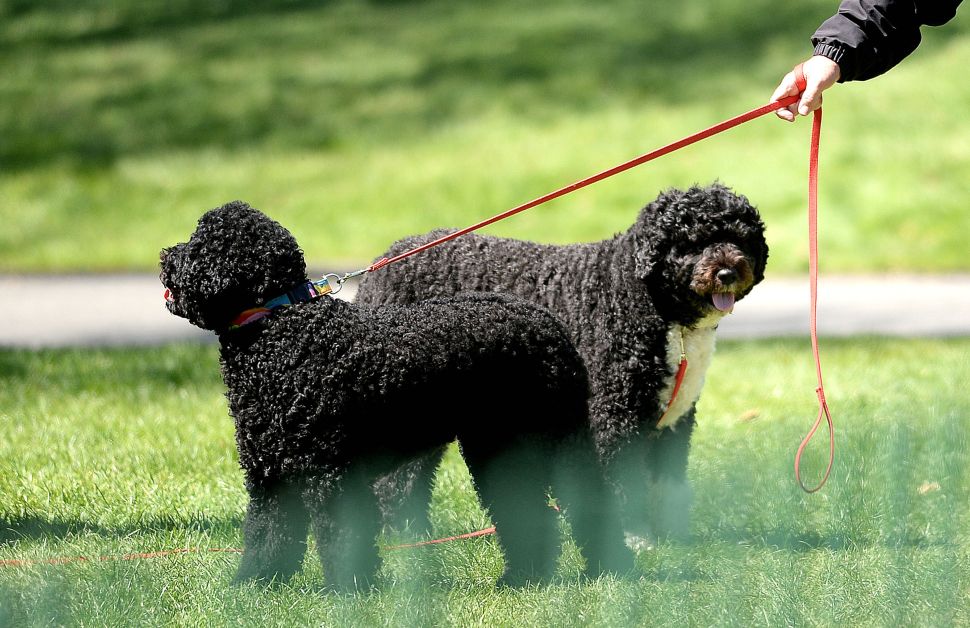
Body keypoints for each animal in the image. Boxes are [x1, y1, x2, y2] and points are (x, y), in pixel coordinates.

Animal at [159, 200, 628, 588]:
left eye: (199, 244)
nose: (165, 257)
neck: (281, 326)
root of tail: (549, 323)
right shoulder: (270, 477)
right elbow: (266, 535)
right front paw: (254, 586)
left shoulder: (331, 473)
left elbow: (341, 536)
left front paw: (349, 591)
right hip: (502, 447)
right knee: (531, 511)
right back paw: (529, 577)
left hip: (545, 439)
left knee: (575, 504)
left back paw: (596, 571)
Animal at [360, 182, 768, 548]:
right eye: (693, 242)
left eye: (740, 238)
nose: (728, 273)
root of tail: (378, 266)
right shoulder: (615, 414)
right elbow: (625, 482)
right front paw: (633, 536)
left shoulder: (675, 418)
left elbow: (667, 483)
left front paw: (671, 538)